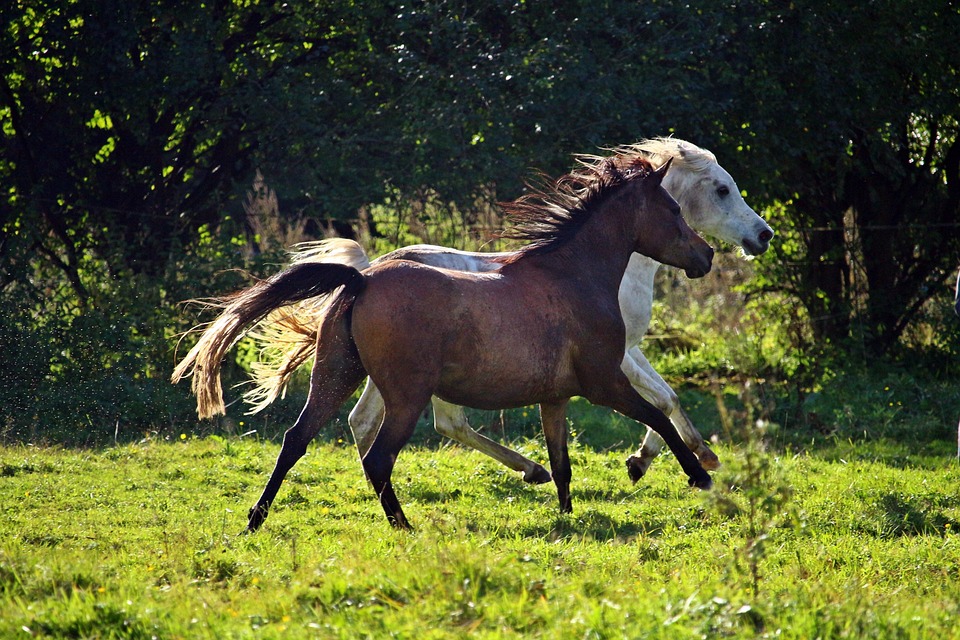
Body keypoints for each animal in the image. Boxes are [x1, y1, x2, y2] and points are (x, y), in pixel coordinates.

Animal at [172, 156, 712, 528]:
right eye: (671, 209)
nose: (705, 256)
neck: (573, 278)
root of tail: (362, 280)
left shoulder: (556, 397)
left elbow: (563, 462)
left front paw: (566, 515)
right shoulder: (604, 381)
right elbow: (658, 417)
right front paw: (698, 474)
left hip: (336, 374)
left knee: (296, 439)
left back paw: (255, 519)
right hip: (405, 394)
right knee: (378, 456)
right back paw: (403, 526)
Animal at [246, 138, 772, 482]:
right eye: (722, 190)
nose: (763, 235)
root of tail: (369, 272)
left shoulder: (626, 352)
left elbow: (669, 398)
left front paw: (689, 456)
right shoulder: (616, 358)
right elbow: (663, 401)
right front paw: (666, 461)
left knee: (361, 422)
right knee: (444, 424)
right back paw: (530, 470)